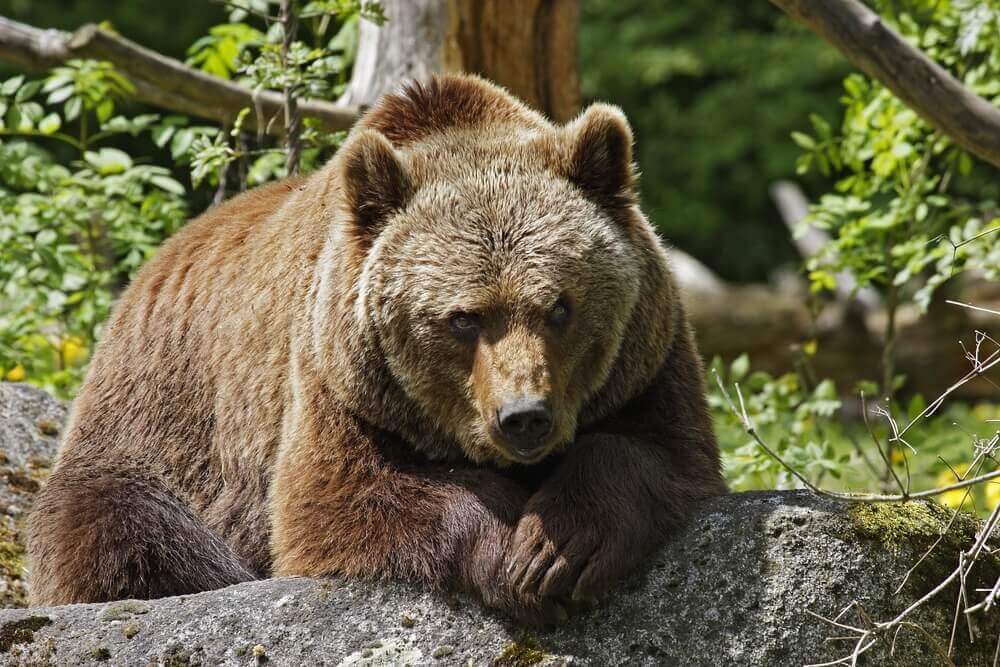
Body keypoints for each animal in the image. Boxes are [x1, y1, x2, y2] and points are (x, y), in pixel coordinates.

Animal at [27, 74, 726, 622]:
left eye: (559, 306)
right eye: (463, 319)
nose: (524, 416)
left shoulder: (647, 357)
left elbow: (660, 454)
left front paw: (558, 548)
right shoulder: (335, 380)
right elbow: (338, 503)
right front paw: (512, 552)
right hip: (156, 427)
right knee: (116, 526)